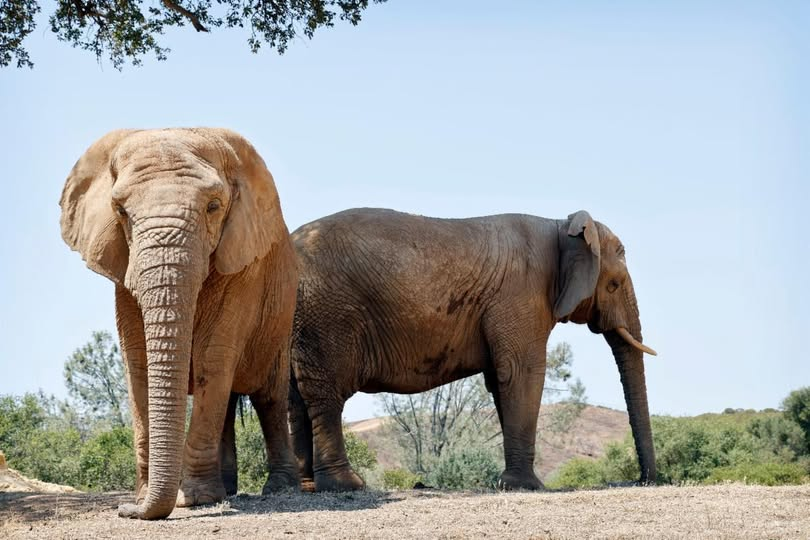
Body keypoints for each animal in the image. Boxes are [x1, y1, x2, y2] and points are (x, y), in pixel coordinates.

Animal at [59, 128, 300, 519]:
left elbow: (213, 360)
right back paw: (227, 489)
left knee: (269, 397)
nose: (126, 509)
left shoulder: (243, 267)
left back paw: (279, 488)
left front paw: (195, 499)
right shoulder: (123, 273)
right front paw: (151, 496)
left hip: (282, 314)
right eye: (120, 210)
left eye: (214, 207)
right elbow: (139, 364)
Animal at [288, 208, 657, 492]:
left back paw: (305, 486)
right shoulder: (521, 296)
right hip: (327, 315)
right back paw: (346, 485)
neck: (559, 226)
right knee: (326, 396)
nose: (645, 480)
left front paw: (515, 483)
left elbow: (500, 380)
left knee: (296, 396)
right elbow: (521, 373)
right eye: (614, 285)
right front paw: (526, 486)